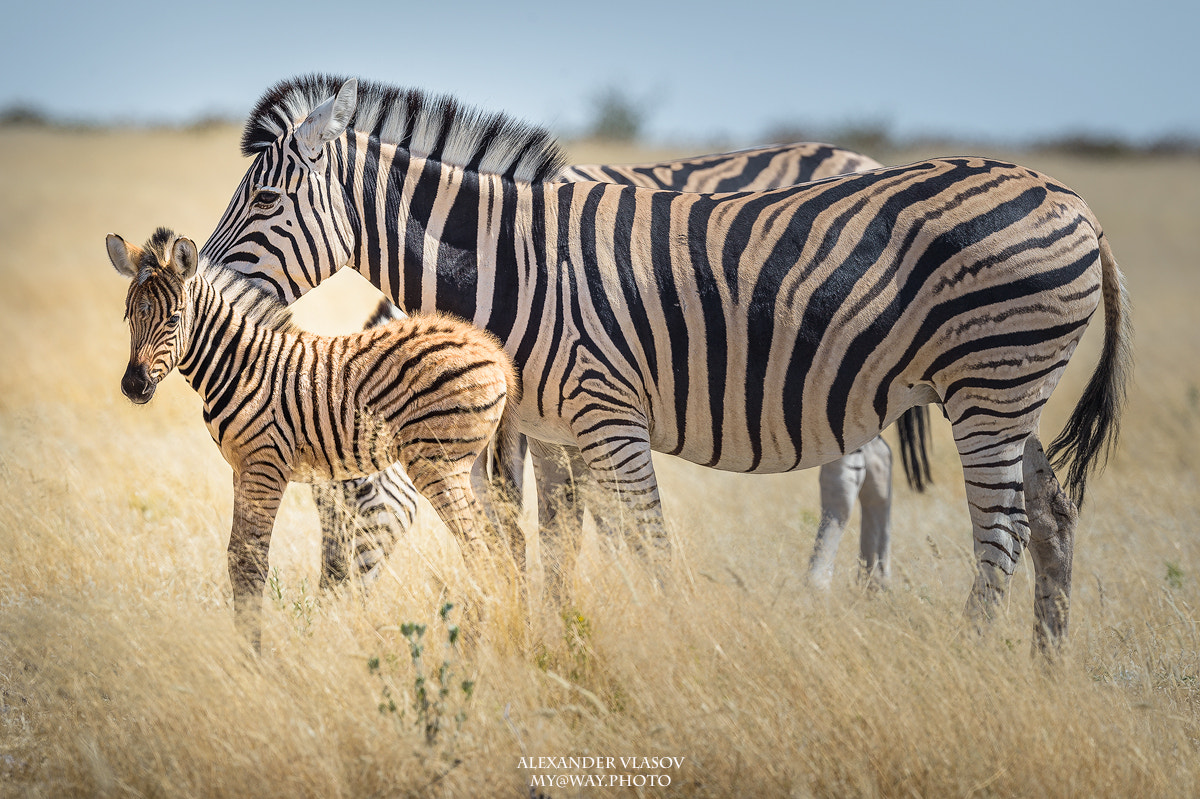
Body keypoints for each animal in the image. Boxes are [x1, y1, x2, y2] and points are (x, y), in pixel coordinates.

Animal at [108, 227, 518, 651]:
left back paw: (470, 648)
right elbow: (236, 556)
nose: (133, 386)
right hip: (471, 467)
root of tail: (492, 351)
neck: (239, 366)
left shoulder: (265, 465)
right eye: (128, 315)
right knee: (499, 546)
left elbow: (250, 561)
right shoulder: (240, 468)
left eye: (174, 318)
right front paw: (245, 650)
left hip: (438, 463)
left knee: (479, 551)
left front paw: (253, 657)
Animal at [316, 143, 930, 598]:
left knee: (847, 471)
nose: (331, 598)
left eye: (359, 492)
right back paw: (875, 586)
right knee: (879, 461)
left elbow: (576, 507)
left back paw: (817, 588)